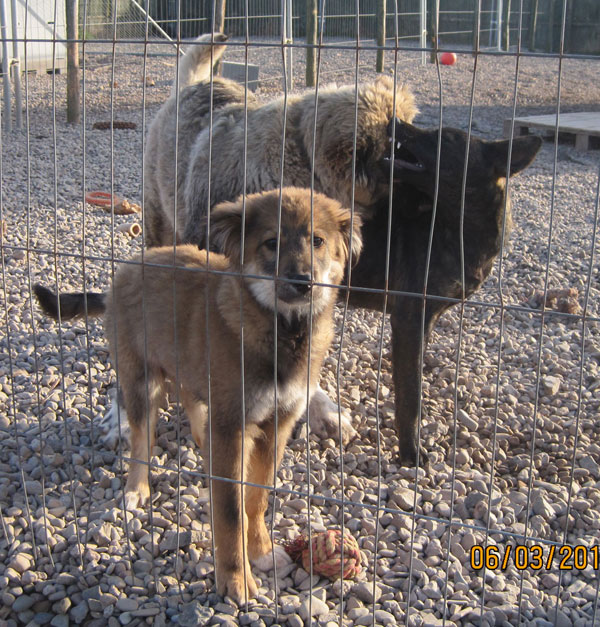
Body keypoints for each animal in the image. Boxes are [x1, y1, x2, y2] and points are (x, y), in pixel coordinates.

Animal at [36, 189, 360, 604]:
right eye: (271, 242)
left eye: (317, 241)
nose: (303, 283)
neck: (282, 332)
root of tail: (128, 267)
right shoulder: (232, 422)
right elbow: (229, 512)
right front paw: (235, 579)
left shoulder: (276, 425)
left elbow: (257, 498)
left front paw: (261, 550)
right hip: (141, 381)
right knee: (141, 439)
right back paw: (136, 488)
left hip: (189, 371)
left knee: (191, 402)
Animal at [350, 120, 540, 466]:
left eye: (446, 138)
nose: (393, 121)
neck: (455, 228)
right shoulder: (409, 320)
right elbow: (410, 395)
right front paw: (410, 452)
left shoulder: (424, 323)